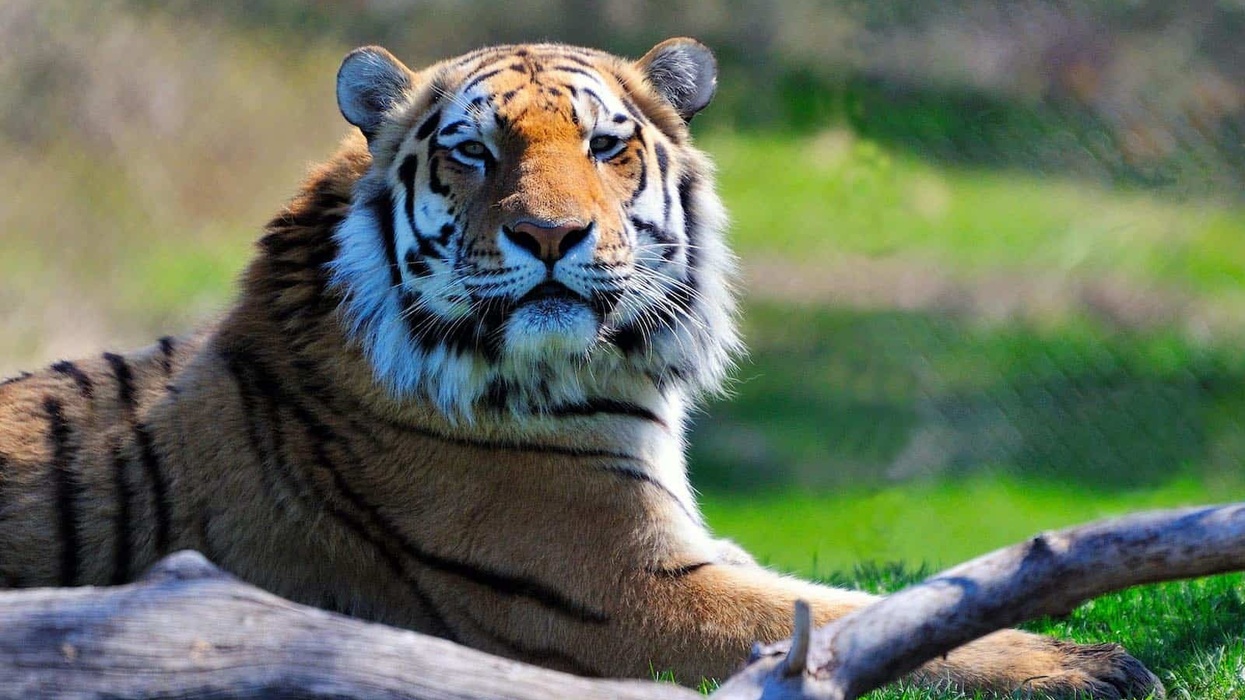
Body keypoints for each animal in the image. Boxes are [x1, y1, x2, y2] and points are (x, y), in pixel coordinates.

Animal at [0, 38, 1161, 697]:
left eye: (606, 145)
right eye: (472, 151)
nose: (551, 235)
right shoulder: (631, 590)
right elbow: (847, 624)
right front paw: (1088, 663)